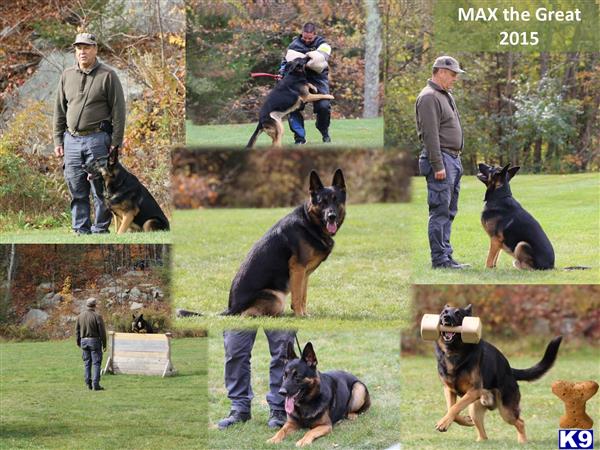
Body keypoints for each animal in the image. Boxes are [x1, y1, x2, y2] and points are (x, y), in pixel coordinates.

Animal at [223, 169, 346, 316]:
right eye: (322, 202)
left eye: (336, 200)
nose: (331, 216)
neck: (310, 222)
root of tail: (231, 308)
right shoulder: (298, 268)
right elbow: (297, 296)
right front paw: (299, 315)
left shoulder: (305, 273)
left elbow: (303, 295)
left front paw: (305, 314)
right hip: (276, 299)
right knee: (246, 314)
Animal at [434, 302, 560, 442]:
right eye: (444, 312)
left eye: (458, 313)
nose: (446, 318)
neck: (454, 352)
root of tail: (510, 370)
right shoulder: (449, 389)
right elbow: (451, 409)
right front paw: (461, 421)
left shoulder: (474, 390)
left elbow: (455, 407)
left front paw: (443, 423)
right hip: (475, 409)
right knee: (483, 434)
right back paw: (480, 440)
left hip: (506, 412)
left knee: (520, 422)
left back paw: (522, 441)